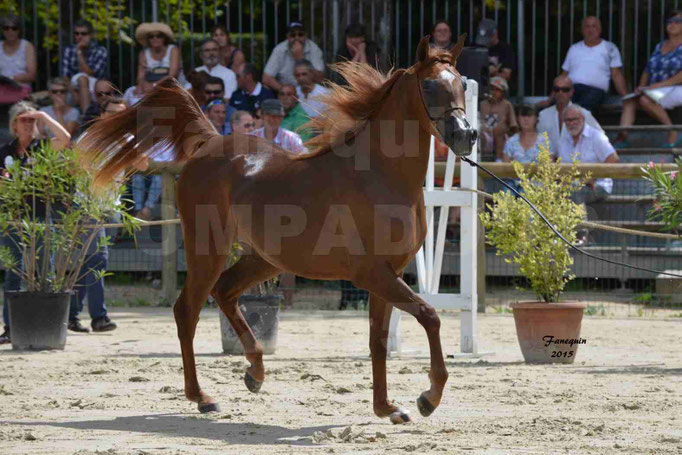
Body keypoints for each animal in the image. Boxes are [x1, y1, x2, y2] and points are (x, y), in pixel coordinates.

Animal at [81, 37, 472, 426]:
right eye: (429, 85)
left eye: (462, 84)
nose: (465, 136)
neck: (380, 174)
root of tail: (211, 142)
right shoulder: (372, 273)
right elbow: (430, 316)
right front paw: (429, 397)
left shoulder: (391, 273)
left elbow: (379, 340)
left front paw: (387, 408)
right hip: (208, 250)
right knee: (186, 311)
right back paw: (203, 398)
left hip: (264, 259)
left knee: (225, 292)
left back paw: (254, 372)